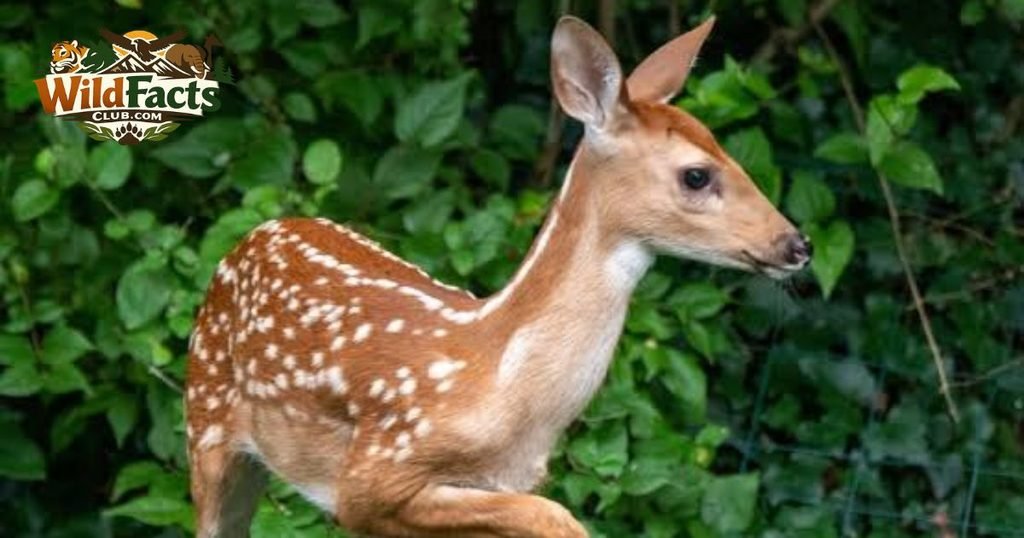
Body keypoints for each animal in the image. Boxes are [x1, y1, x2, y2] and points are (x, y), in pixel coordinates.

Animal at [185, 14, 811, 538]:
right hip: (207, 422)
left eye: (727, 150)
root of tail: (256, 233)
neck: (502, 385)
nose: (797, 244)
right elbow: (558, 518)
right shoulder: (371, 478)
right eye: (697, 175)